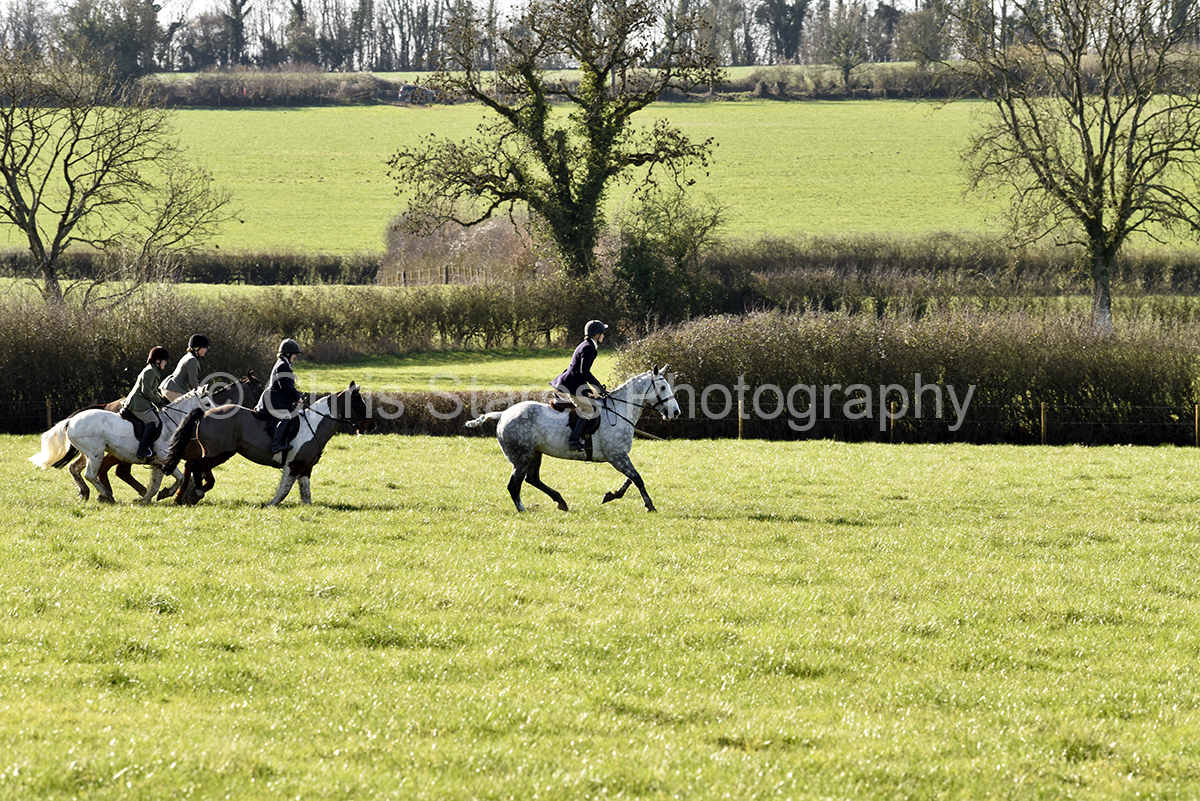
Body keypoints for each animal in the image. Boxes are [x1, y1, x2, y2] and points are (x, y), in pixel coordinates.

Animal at [29, 383, 229, 504]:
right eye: (207, 402)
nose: (217, 416)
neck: (172, 422)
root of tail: (71, 420)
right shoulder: (164, 458)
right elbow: (178, 478)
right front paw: (161, 495)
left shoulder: (159, 462)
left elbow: (158, 483)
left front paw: (147, 498)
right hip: (96, 453)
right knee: (90, 474)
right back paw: (106, 495)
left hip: (88, 453)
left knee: (75, 469)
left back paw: (86, 492)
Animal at [161, 383, 374, 507]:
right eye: (358, 403)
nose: (371, 426)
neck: (314, 424)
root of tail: (204, 413)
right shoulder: (293, 466)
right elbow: (284, 490)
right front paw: (271, 504)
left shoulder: (306, 468)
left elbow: (306, 494)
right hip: (219, 453)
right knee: (196, 467)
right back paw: (194, 493)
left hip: (214, 453)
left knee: (197, 468)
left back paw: (184, 495)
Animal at [464, 366, 680, 512]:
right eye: (662, 387)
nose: (676, 412)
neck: (620, 410)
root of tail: (503, 414)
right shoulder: (617, 456)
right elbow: (637, 478)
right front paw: (650, 505)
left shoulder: (620, 456)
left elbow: (631, 478)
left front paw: (611, 496)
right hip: (521, 457)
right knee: (514, 485)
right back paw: (523, 509)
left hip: (535, 453)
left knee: (532, 479)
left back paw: (560, 501)